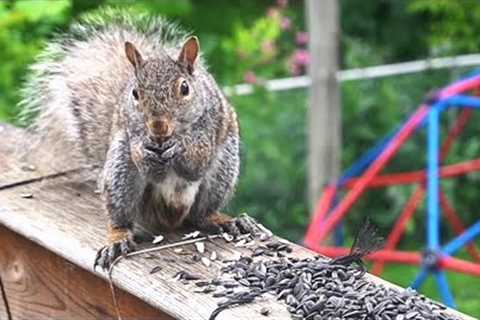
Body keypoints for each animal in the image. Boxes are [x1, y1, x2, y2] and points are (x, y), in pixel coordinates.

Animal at [20, 10, 256, 268]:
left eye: (184, 88)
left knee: (201, 214)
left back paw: (223, 220)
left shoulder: (210, 125)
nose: (158, 127)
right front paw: (145, 150)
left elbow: (197, 162)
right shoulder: (129, 135)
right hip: (119, 171)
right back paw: (117, 238)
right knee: (121, 217)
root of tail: (171, 214)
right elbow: (145, 161)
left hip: (222, 170)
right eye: (135, 93)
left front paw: (179, 147)